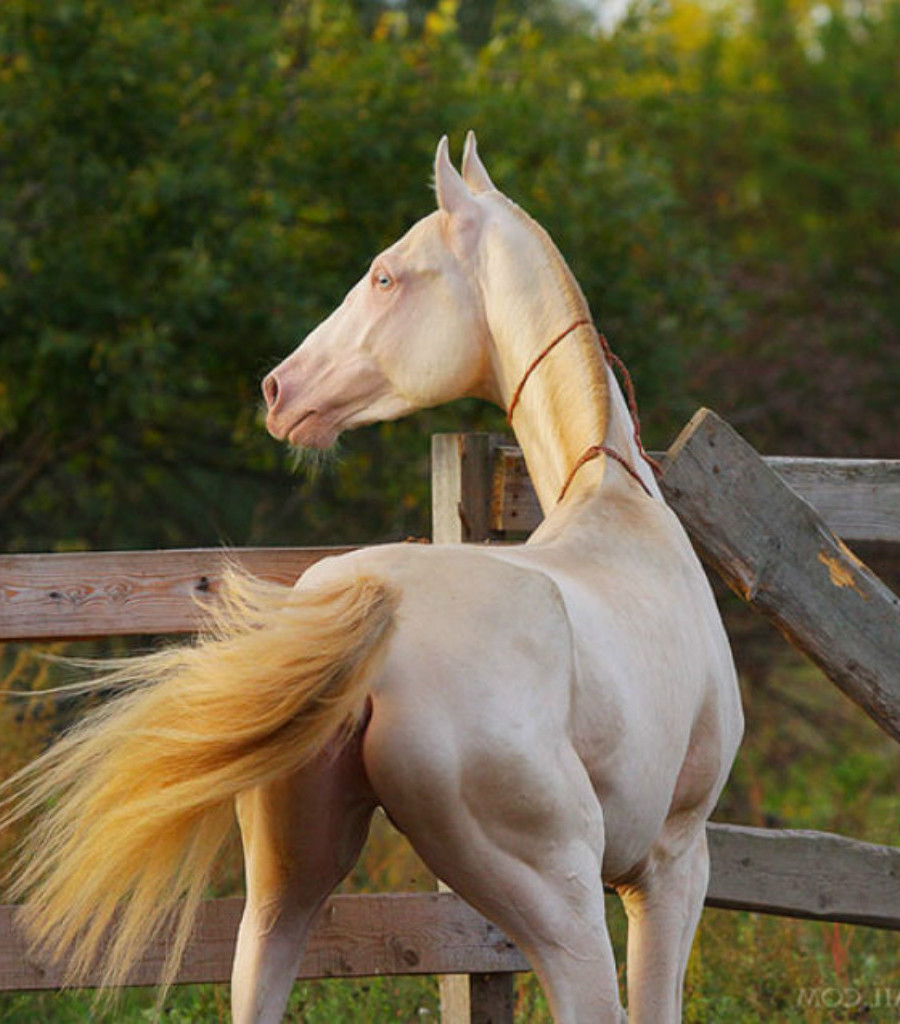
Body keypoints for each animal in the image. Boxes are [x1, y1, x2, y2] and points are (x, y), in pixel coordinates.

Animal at [3, 136, 741, 1024]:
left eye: (386, 276)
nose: (278, 390)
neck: (619, 505)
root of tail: (368, 618)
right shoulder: (669, 865)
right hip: (560, 900)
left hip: (282, 893)